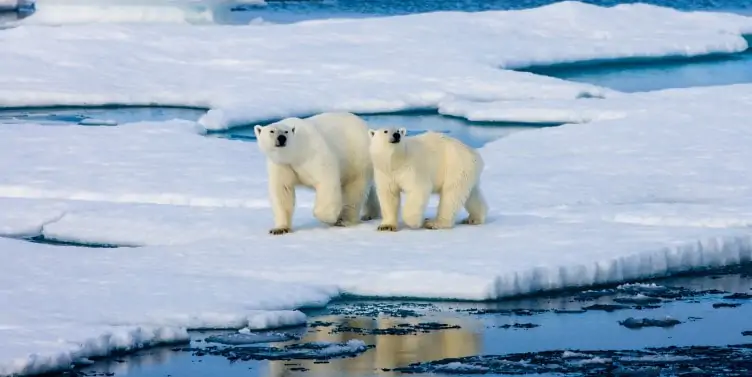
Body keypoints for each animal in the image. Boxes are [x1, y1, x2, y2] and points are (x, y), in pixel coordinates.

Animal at [254, 111, 382, 234]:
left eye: (286, 131)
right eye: (271, 131)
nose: (281, 138)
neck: (295, 153)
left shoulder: (312, 153)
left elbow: (326, 181)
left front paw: (329, 218)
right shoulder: (282, 165)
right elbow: (282, 191)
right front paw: (279, 229)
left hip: (356, 157)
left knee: (354, 188)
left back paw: (344, 220)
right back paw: (370, 214)